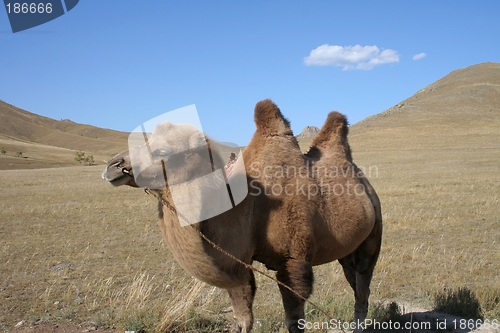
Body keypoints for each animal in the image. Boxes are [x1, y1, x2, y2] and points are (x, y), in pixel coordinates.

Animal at [102, 99, 382, 332]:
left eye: (161, 152)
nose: (112, 165)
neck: (248, 204)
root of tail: (367, 186)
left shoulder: (295, 260)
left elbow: (294, 320)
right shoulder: (237, 263)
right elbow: (242, 318)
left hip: (372, 237)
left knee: (362, 289)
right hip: (346, 250)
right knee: (355, 282)